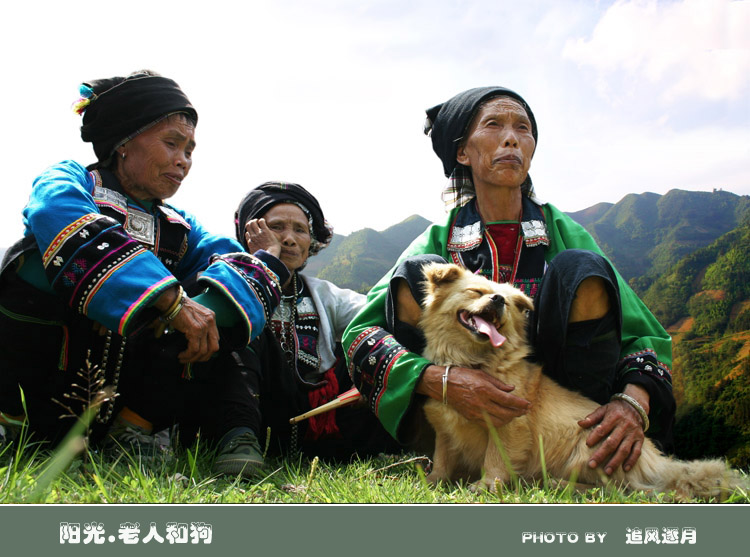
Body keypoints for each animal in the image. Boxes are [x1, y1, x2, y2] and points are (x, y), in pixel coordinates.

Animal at [424, 262, 748, 502]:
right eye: (475, 291)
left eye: (506, 303)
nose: (499, 300)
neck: (475, 360)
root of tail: (659, 464)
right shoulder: (444, 426)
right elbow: (442, 457)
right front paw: (432, 481)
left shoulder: (509, 424)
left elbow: (497, 458)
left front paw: (488, 486)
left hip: (589, 447)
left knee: (621, 490)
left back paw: (557, 485)